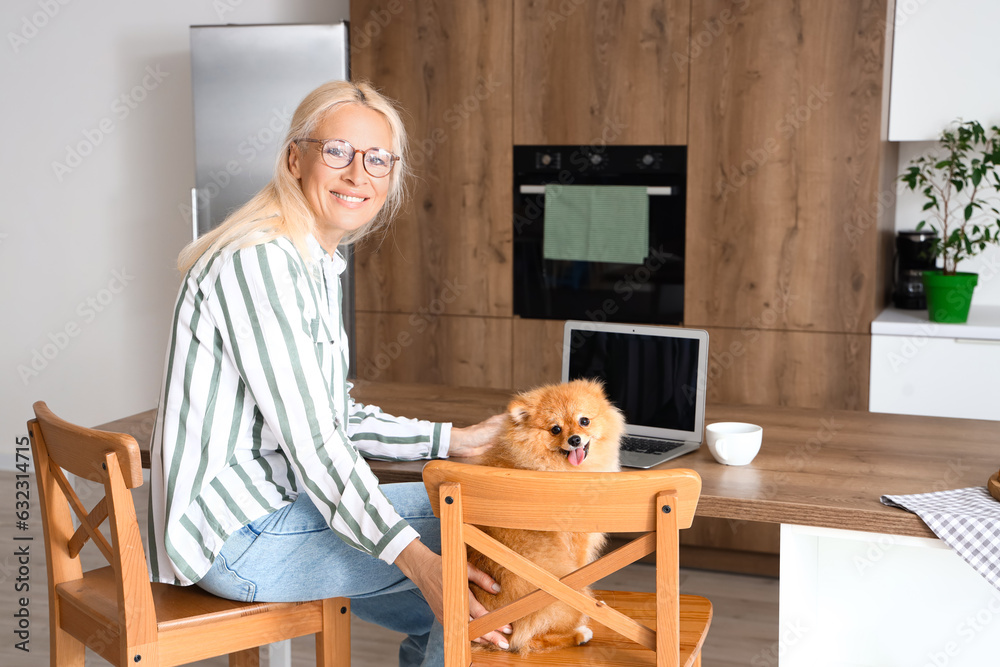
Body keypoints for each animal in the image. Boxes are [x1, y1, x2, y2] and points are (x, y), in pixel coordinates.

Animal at [470, 378, 624, 656]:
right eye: (555, 429)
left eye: (584, 420)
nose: (574, 439)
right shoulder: (578, 542)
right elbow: (583, 568)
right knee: (525, 640)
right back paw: (579, 634)